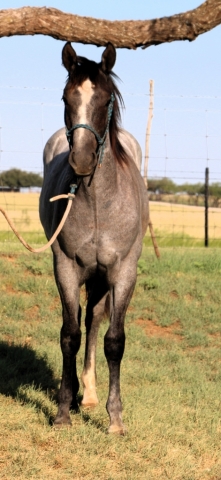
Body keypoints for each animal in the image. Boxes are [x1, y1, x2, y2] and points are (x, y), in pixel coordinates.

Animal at [40, 42, 149, 436]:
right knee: (82, 322)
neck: (100, 203)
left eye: (104, 100)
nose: (83, 160)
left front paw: (115, 418)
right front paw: (62, 411)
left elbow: (114, 341)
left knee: (94, 321)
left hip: (103, 277)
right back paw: (76, 394)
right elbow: (69, 334)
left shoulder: (123, 272)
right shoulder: (66, 268)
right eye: (66, 97)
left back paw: (87, 392)